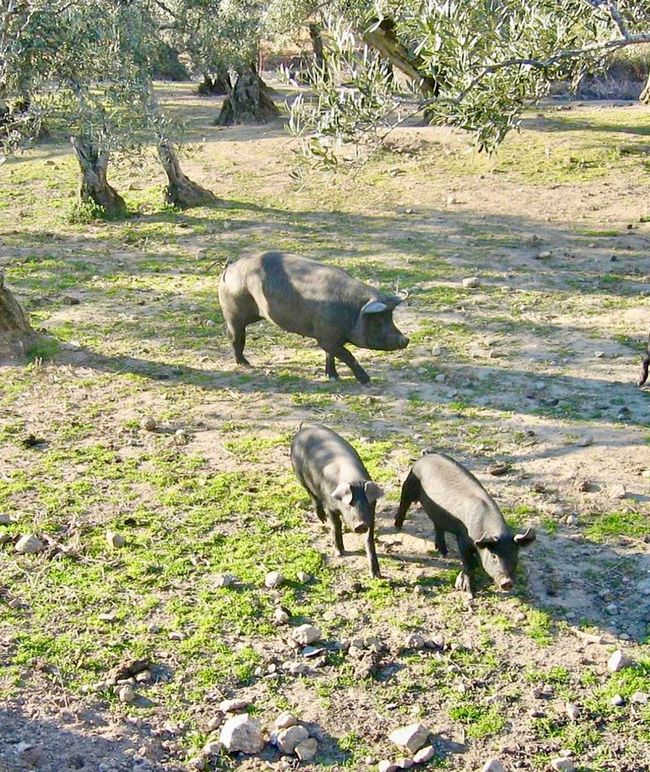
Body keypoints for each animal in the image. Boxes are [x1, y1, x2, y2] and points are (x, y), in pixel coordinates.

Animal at [218, 251, 409, 384]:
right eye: (377, 320)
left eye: (391, 316)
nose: (405, 339)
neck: (352, 310)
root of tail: (229, 267)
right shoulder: (327, 339)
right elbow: (347, 355)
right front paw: (367, 381)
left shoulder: (328, 336)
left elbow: (329, 355)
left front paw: (333, 377)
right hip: (233, 313)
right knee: (234, 336)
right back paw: (244, 364)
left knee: (237, 335)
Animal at [291, 424, 383, 578]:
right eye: (350, 505)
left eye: (368, 505)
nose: (361, 525)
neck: (354, 479)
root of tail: (303, 429)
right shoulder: (330, 505)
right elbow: (335, 526)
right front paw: (339, 553)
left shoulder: (371, 516)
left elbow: (369, 539)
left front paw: (376, 575)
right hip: (300, 477)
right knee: (312, 495)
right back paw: (322, 519)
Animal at [394, 453, 535, 595]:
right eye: (494, 556)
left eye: (515, 555)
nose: (507, 582)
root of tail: (425, 457)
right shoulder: (463, 540)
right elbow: (469, 566)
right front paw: (471, 592)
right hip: (409, 486)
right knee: (403, 505)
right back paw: (397, 527)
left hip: (437, 512)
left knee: (437, 525)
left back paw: (443, 552)